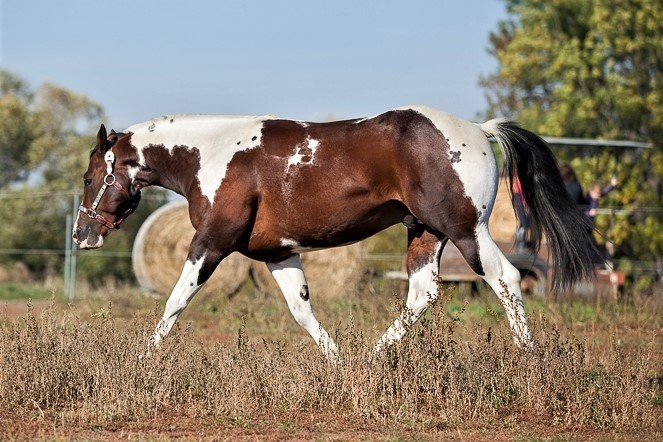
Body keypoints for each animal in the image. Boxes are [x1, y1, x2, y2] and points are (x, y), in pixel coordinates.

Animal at [73, 105, 596, 359]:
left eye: (90, 176)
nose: (81, 234)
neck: (214, 156)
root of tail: (478, 129)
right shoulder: (277, 254)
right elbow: (302, 312)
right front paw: (338, 362)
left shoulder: (212, 243)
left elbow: (175, 301)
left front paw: (141, 360)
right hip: (425, 233)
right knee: (422, 294)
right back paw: (371, 359)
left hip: (467, 230)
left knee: (506, 279)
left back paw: (528, 358)